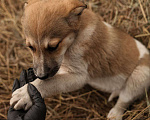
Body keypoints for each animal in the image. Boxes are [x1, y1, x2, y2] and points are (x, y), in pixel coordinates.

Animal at [9, 0, 149, 119]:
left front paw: (25, 94)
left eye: (54, 47)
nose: (40, 75)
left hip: (139, 75)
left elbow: (51, 83)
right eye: (30, 47)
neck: (76, 36)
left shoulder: (79, 77)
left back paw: (115, 114)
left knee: (124, 99)